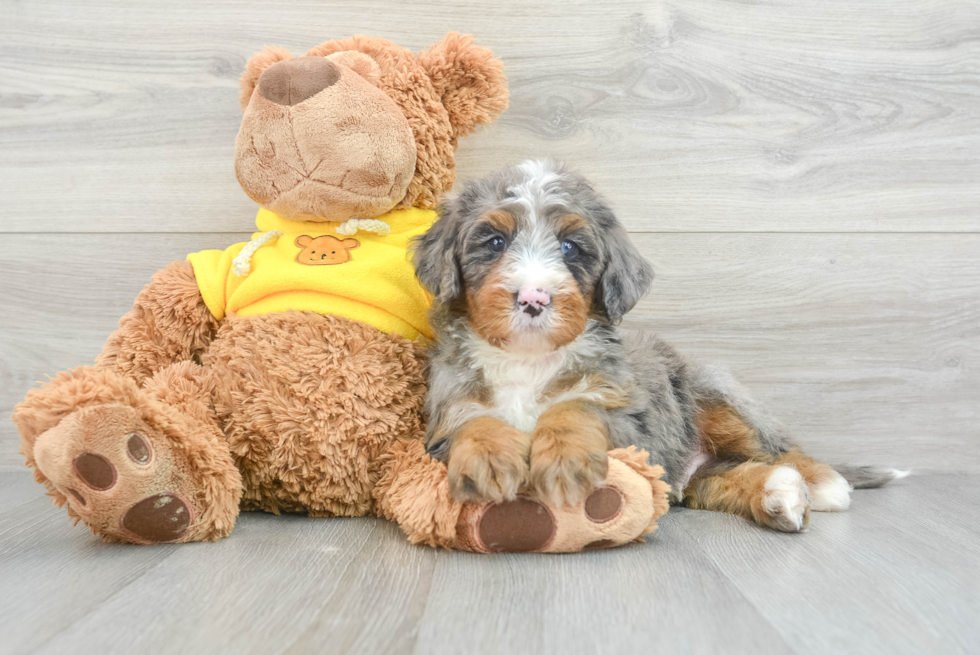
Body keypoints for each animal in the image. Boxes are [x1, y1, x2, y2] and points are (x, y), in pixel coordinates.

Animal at [412, 160, 904, 532]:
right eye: (495, 242)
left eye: (570, 247)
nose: (534, 298)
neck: (528, 360)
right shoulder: (444, 414)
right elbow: (476, 421)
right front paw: (490, 460)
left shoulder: (631, 422)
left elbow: (577, 406)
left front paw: (566, 456)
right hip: (689, 476)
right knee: (726, 479)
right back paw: (778, 493)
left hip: (712, 390)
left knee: (781, 447)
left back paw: (823, 483)